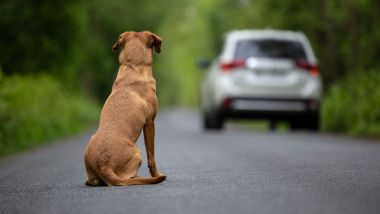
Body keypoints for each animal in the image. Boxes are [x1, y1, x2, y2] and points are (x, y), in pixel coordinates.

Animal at [84, 30, 166, 186]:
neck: (133, 65)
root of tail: (104, 166)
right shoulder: (150, 123)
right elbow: (151, 156)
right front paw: (156, 174)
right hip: (137, 153)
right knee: (128, 178)